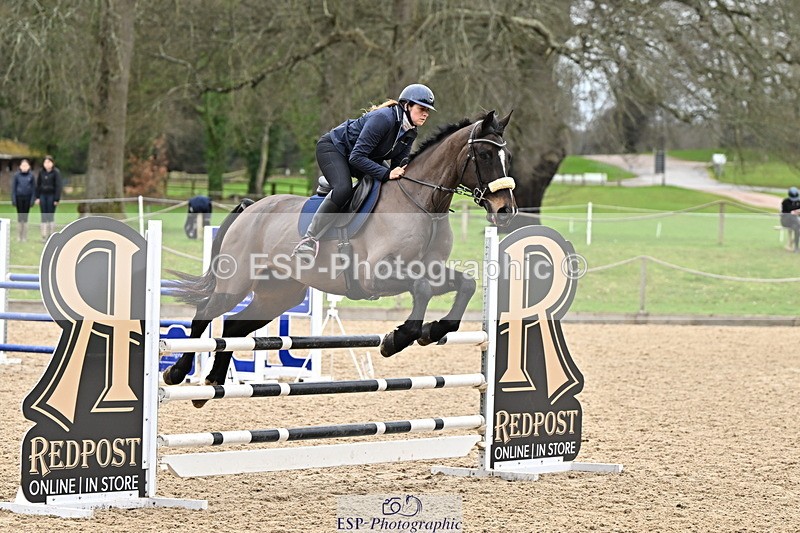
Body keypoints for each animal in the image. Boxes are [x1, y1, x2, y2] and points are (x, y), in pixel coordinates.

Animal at [163, 110, 518, 401]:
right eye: (485, 154)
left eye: (508, 156)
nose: (506, 212)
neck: (421, 204)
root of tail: (251, 207)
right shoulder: (378, 276)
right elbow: (421, 290)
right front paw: (396, 339)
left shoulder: (430, 268)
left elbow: (465, 285)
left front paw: (433, 331)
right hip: (236, 283)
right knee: (204, 314)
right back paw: (177, 373)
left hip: (279, 294)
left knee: (234, 327)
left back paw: (212, 383)